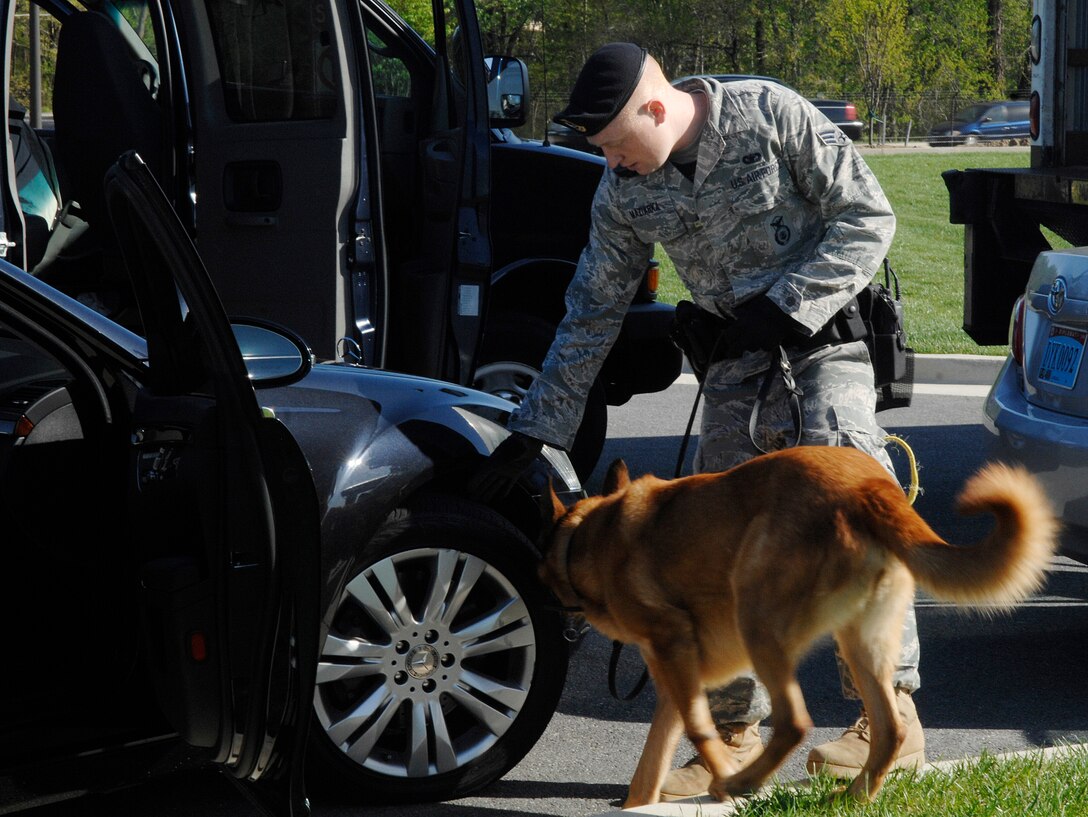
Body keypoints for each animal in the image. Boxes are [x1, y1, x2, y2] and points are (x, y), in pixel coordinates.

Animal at [539, 450, 1057, 809]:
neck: (586, 537)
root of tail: (870, 489)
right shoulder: (673, 681)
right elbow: (652, 765)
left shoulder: (674, 647)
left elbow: (701, 731)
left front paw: (726, 780)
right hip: (860, 644)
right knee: (888, 730)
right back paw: (850, 799)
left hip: (757, 621)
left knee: (794, 722)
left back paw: (747, 780)